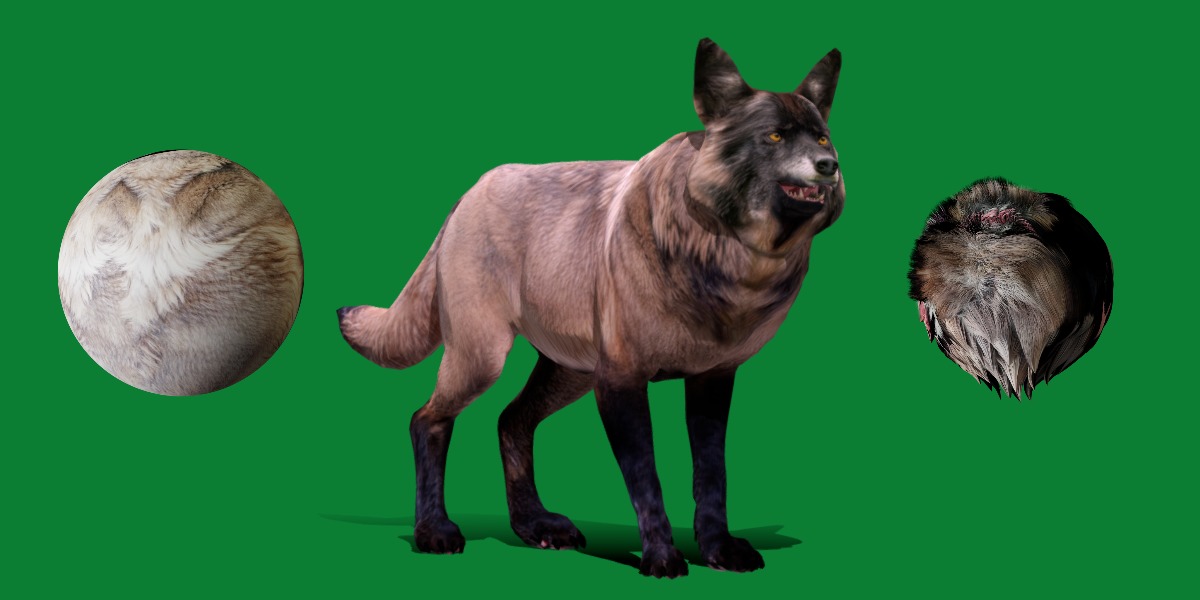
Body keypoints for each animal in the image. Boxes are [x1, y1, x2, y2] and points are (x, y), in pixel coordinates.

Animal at [338, 39, 843, 577]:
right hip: (483, 358)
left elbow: (712, 476)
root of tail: (469, 193)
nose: (829, 166)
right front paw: (661, 558)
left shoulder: (712, 381)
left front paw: (718, 550)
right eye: (774, 136)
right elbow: (647, 479)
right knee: (427, 419)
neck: (721, 260)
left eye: (823, 138)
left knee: (510, 421)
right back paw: (434, 530)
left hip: (568, 374)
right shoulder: (620, 383)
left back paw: (534, 526)